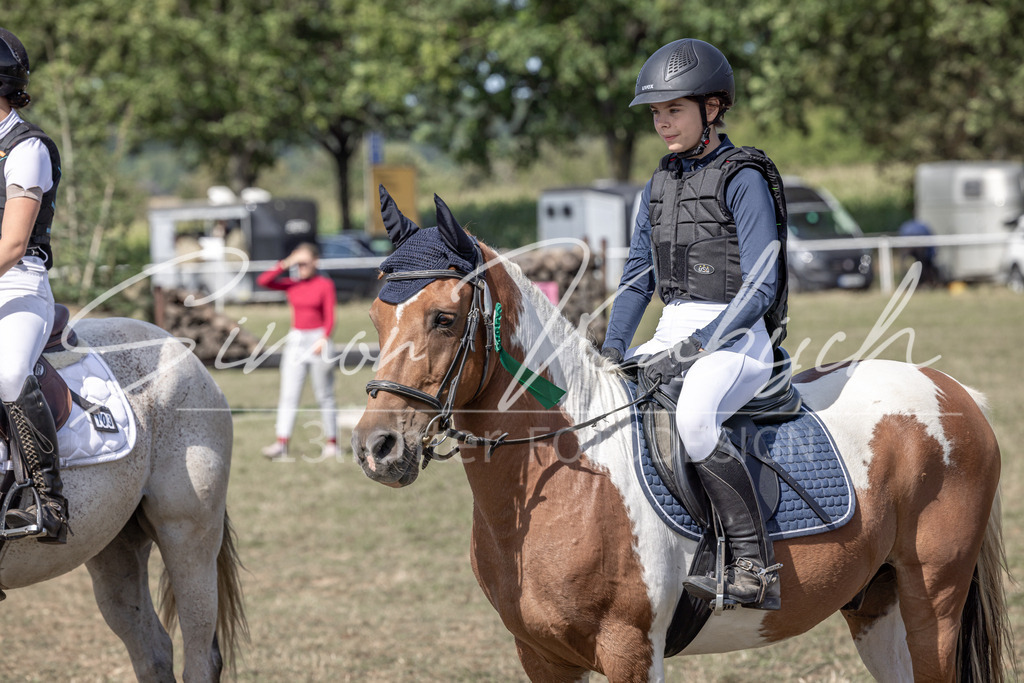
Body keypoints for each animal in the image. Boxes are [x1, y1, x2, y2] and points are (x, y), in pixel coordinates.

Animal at [351, 188, 1013, 682]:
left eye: (444, 318)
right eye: (377, 317)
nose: (376, 449)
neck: (572, 478)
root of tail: (951, 390)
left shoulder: (629, 650)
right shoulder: (540, 656)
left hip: (933, 601)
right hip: (877, 605)